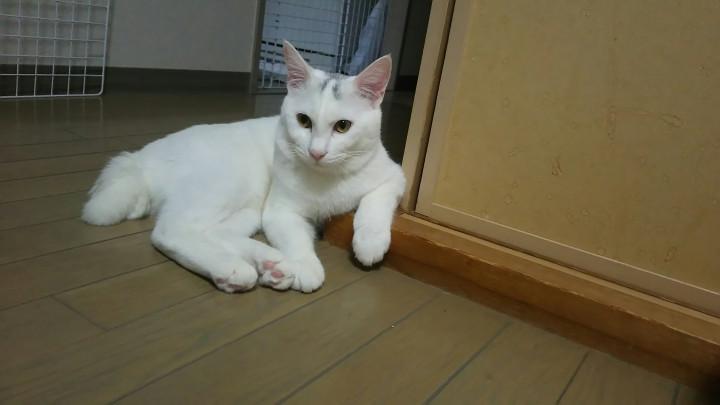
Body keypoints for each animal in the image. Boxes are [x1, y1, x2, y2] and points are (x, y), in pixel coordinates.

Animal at [82, 41, 406, 293]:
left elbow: (375, 202)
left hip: (248, 210)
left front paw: (369, 242)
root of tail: (142, 155)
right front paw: (306, 266)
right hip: (231, 184)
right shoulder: (279, 212)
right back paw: (237, 269)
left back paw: (268, 265)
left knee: (213, 233)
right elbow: (297, 240)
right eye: (303, 121)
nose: (316, 152)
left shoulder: (394, 175)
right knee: (170, 231)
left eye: (343, 126)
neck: (326, 180)